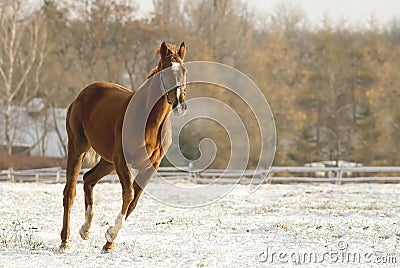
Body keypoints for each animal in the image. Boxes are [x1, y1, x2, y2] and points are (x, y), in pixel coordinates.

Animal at [59, 40, 188, 252]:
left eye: (184, 71)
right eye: (166, 70)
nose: (180, 105)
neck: (149, 123)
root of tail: (82, 94)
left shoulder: (151, 167)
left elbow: (134, 201)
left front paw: (109, 242)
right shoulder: (122, 161)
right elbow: (129, 194)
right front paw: (110, 235)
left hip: (108, 161)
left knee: (88, 179)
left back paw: (86, 229)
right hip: (78, 147)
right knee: (70, 191)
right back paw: (65, 241)